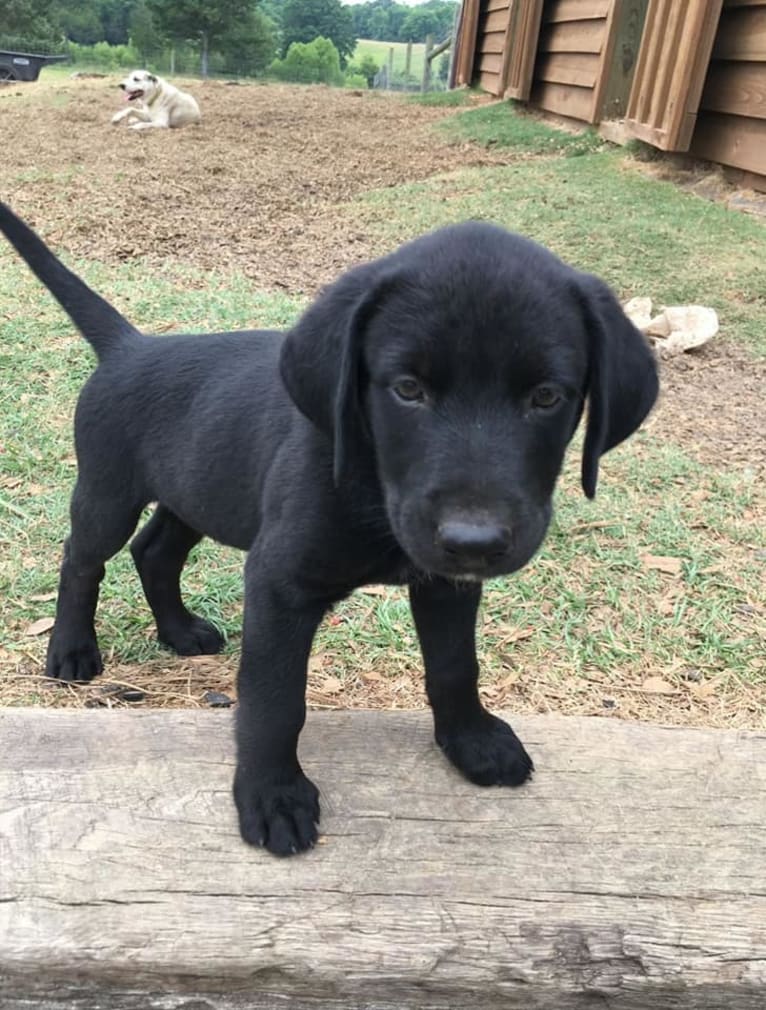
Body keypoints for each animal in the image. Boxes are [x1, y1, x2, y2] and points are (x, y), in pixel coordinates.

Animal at [0, 203, 658, 852]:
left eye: (547, 397)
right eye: (407, 390)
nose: (475, 541)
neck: (371, 481)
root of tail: (128, 347)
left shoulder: (447, 585)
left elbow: (455, 665)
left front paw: (471, 740)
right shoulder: (279, 581)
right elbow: (275, 701)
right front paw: (272, 795)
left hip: (198, 491)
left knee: (155, 550)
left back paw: (181, 631)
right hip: (108, 491)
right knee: (83, 558)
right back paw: (71, 649)